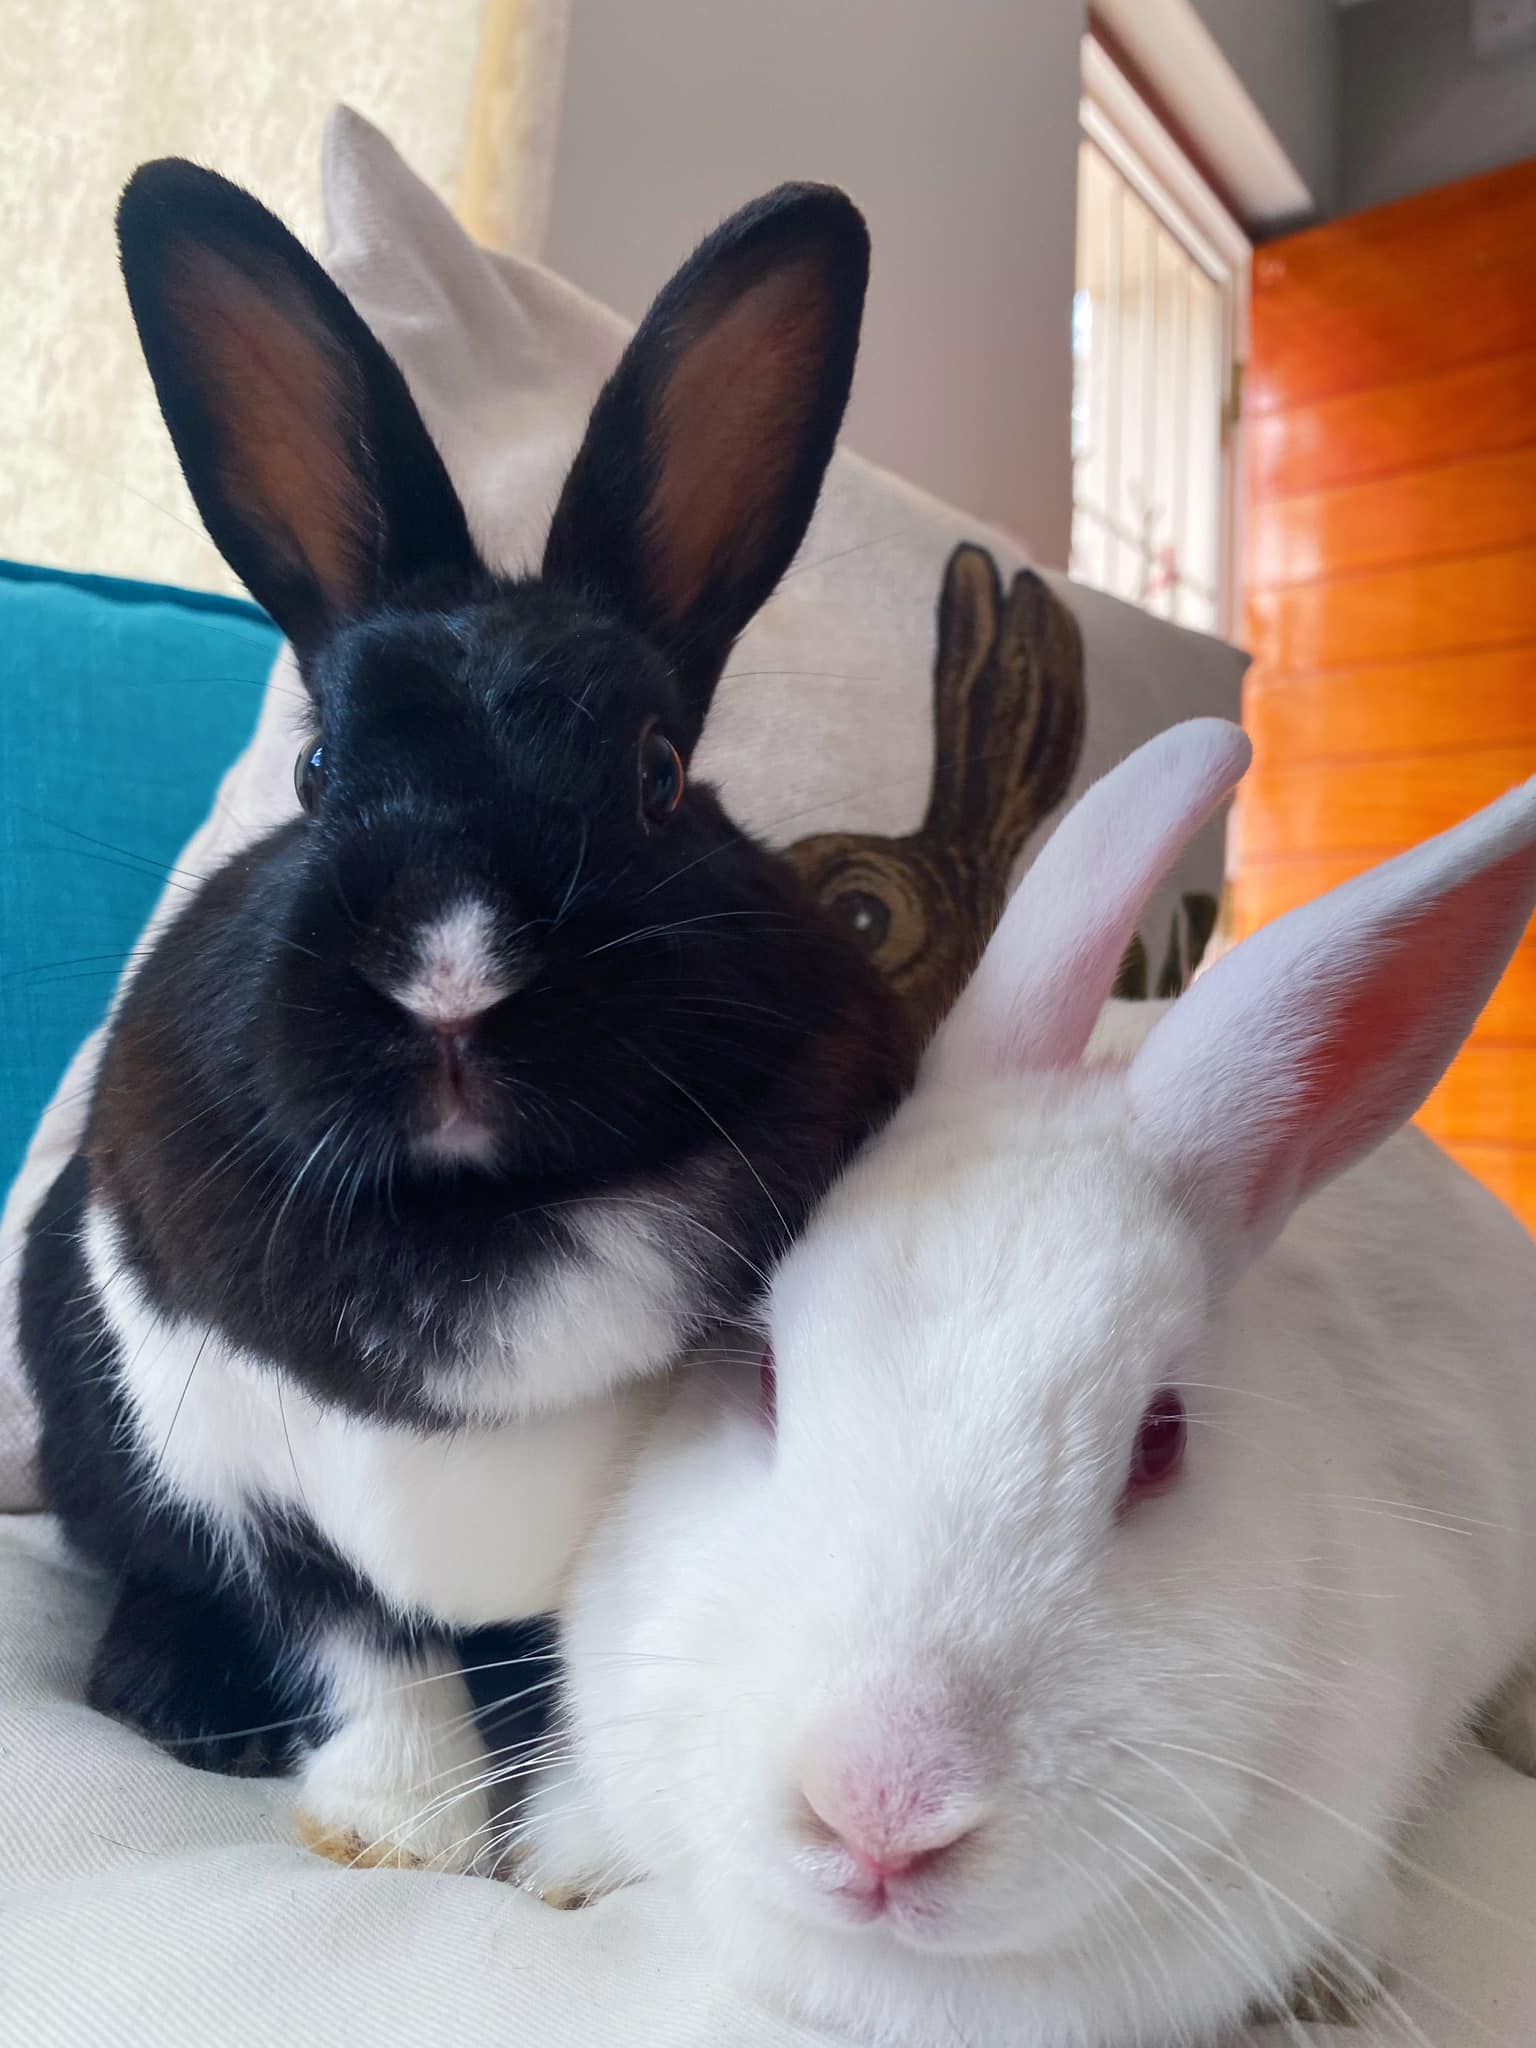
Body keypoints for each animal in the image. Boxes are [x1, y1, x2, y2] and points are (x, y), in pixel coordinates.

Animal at [17, 160, 915, 1872]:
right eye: (317, 775)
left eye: (656, 775)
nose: (451, 980)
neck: (482, 1218)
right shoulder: (269, 1498)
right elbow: (375, 1660)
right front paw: (403, 1841)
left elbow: (582, 1683)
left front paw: (576, 1869)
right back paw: (182, 1701)